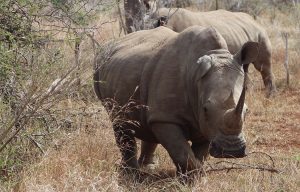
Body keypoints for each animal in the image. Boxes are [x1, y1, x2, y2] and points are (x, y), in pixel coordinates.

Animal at [94, 25, 258, 174]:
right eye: (206, 108)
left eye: (247, 111)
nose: (232, 150)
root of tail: (110, 44)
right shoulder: (166, 118)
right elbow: (182, 153)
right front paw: (191, 176)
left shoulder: (205, 124)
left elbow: (199, 154)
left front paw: (190, 177)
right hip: (100, 70)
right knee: (120, 122)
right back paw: (132, 173)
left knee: (147, 121)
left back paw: (147, 167)